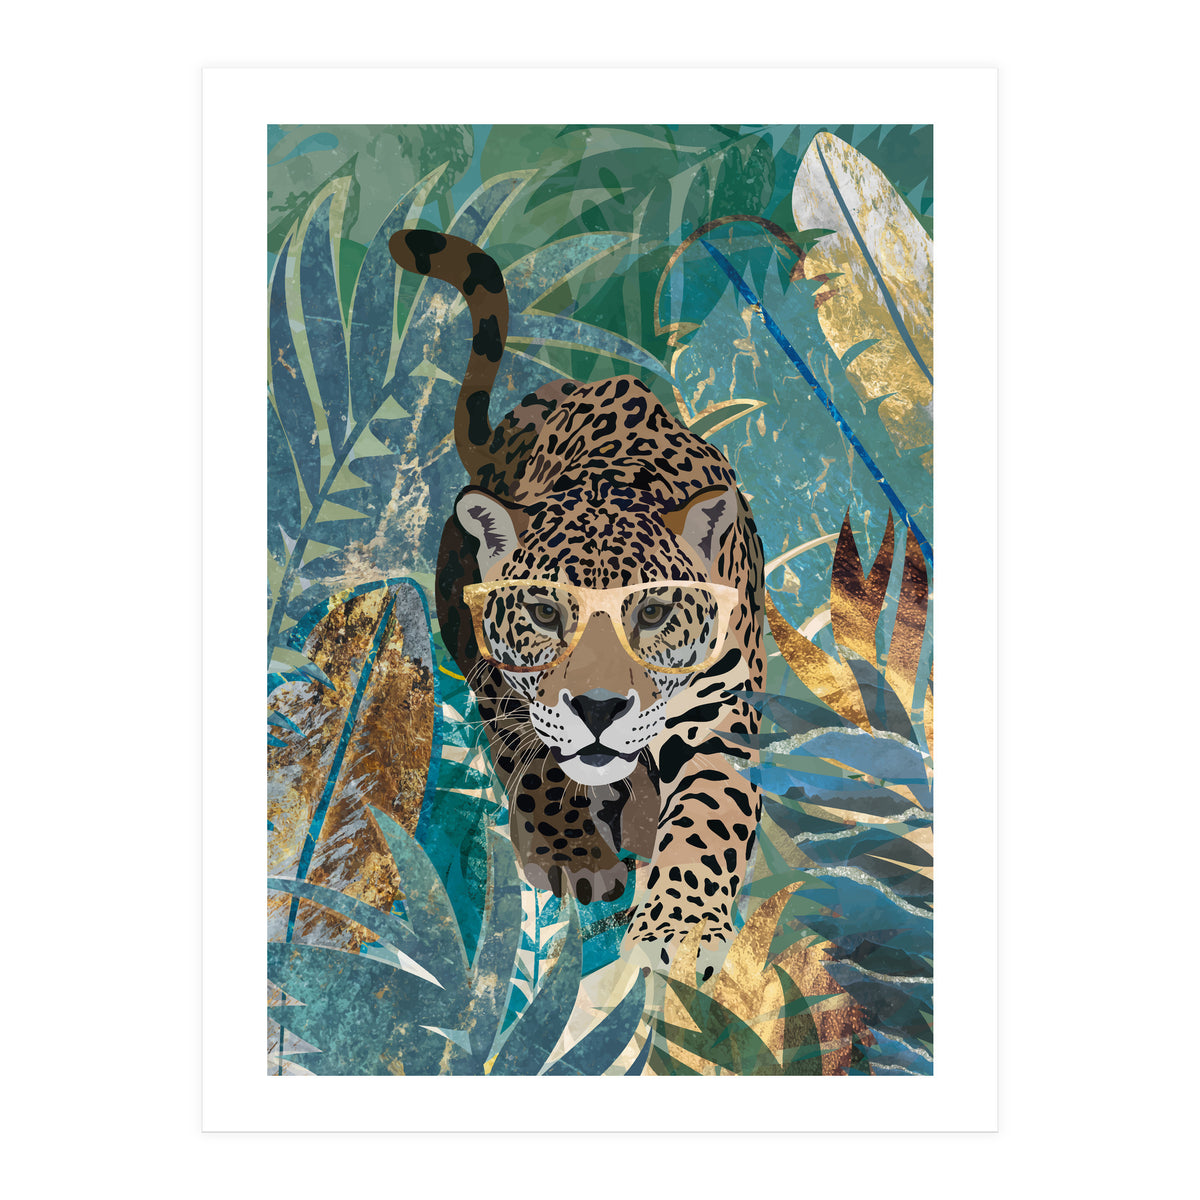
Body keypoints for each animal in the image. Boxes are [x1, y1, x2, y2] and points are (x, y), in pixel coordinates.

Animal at [388, 228, 765, 979]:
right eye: (543, 613)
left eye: (651, 613)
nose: (597, 709)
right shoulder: (501, 679)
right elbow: (534, 759)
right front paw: (572, 853)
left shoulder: (720, 714)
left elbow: (710, 812)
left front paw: (678, 928)